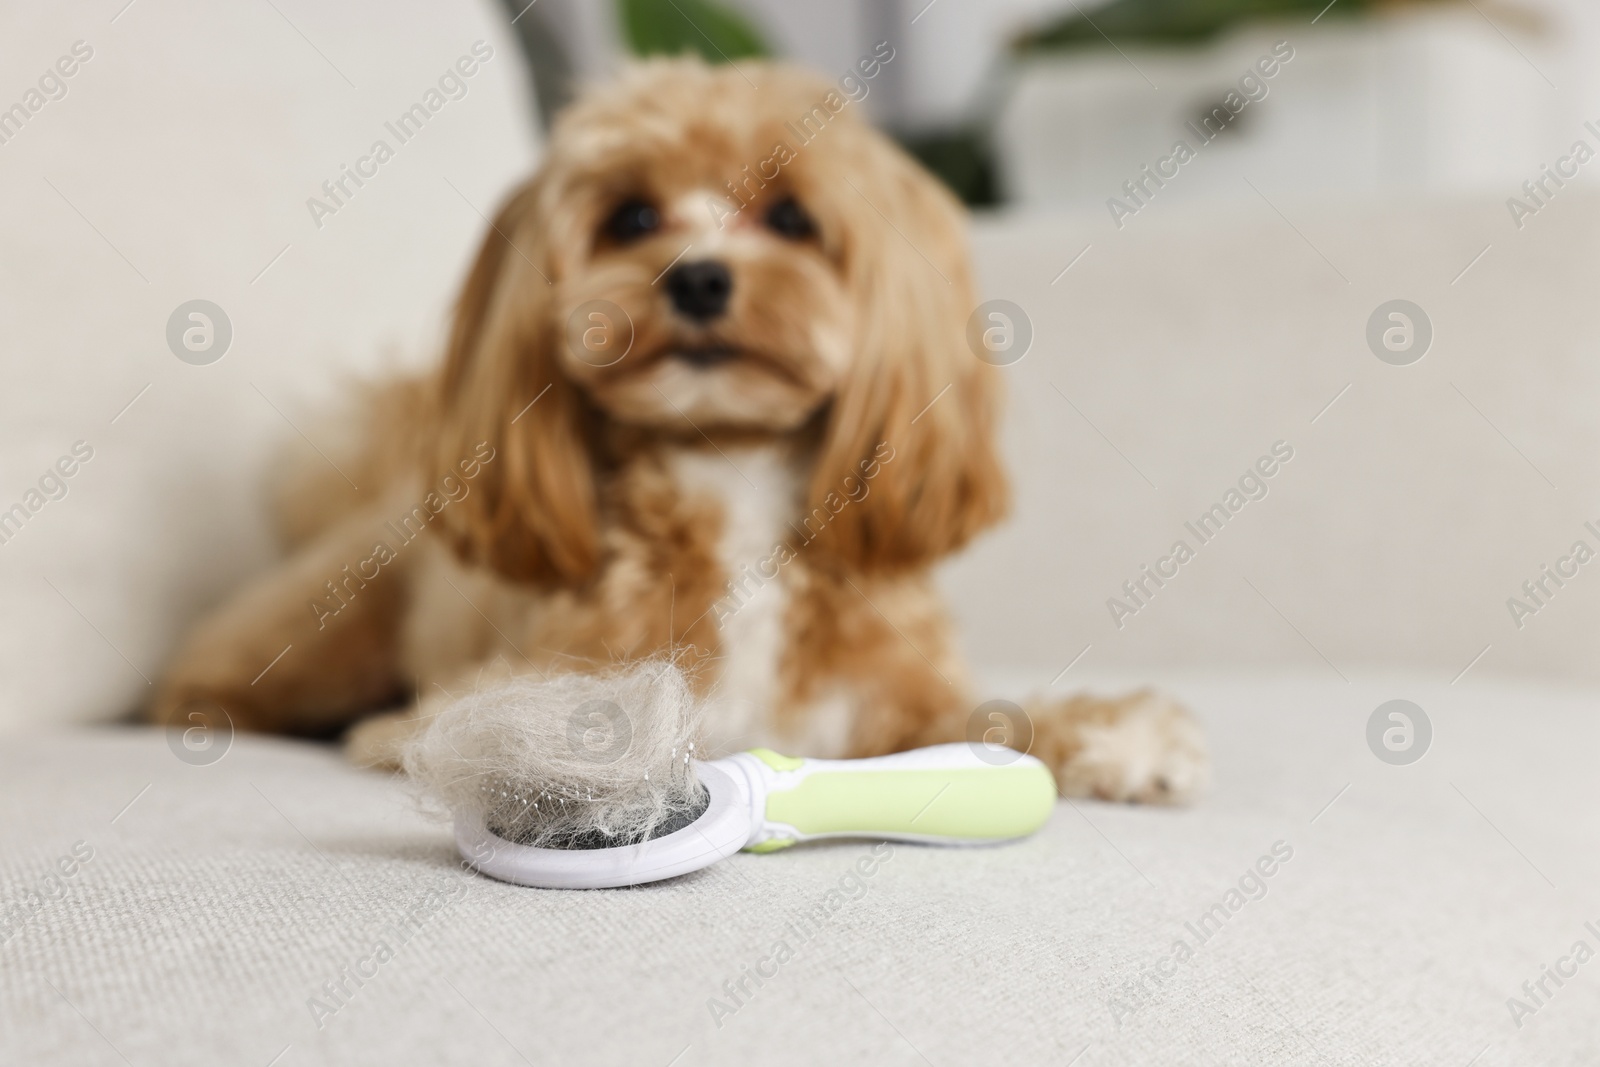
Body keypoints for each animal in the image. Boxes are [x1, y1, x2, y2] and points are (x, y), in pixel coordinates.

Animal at [150, 58, 1203, 806]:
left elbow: (990, 720)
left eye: (792, 217)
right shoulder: (482, 692)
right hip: (319, 631)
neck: (733, 478)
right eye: (632, 216)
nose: (697, 276)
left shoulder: (896, 703)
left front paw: (1117, 733)